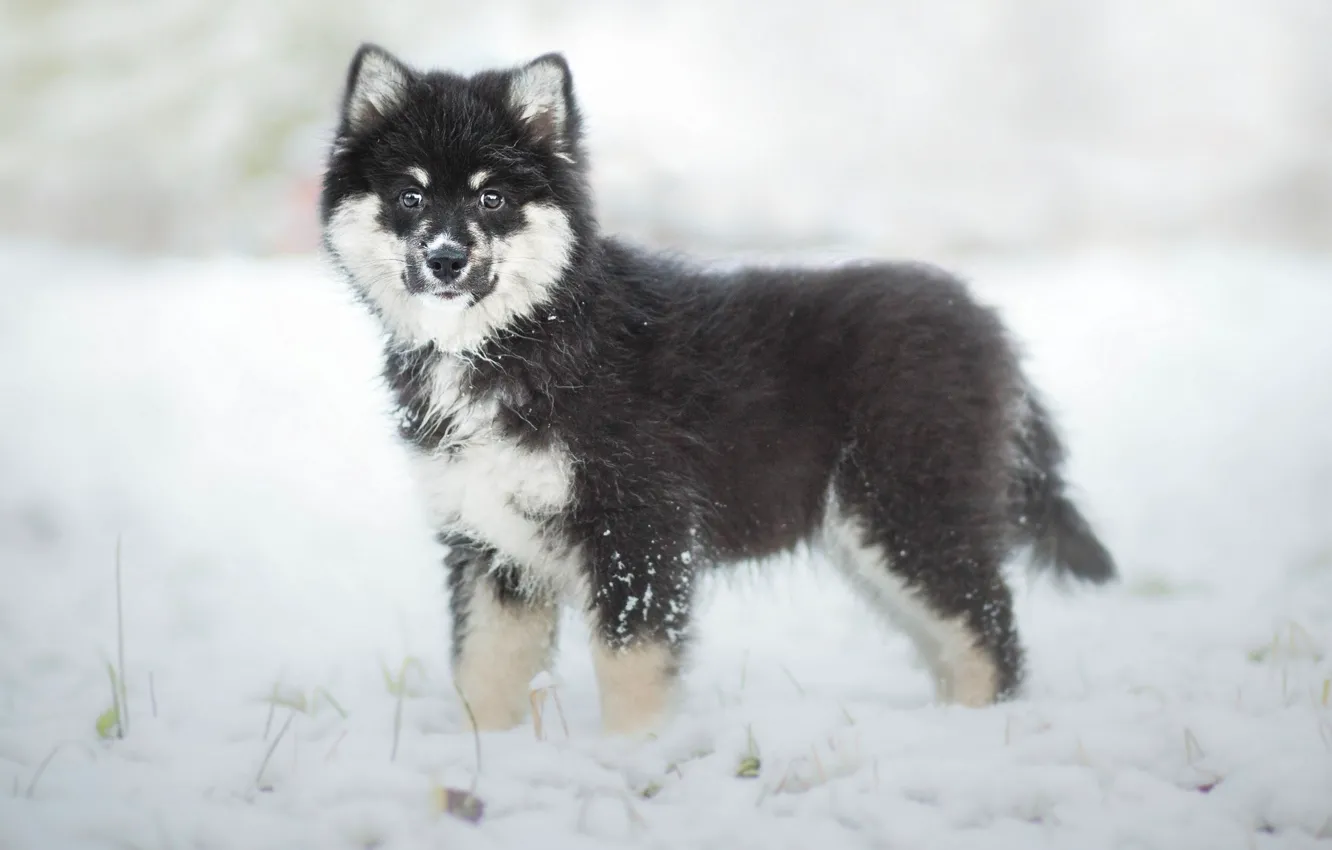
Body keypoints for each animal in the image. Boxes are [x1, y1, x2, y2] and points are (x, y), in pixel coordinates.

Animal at [319, 48, 1113, 740]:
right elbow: (484, 670)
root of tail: (985, 321)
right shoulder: (490, 543)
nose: (446, 259)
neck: (527, 336)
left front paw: (633, 755)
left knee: (988, 631)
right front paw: (489, 758)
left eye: (493, 196)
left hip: (909, 507)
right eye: (409, 195)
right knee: (959, 635)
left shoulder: (640, 529)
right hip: (874, 533)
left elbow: (631, 665)